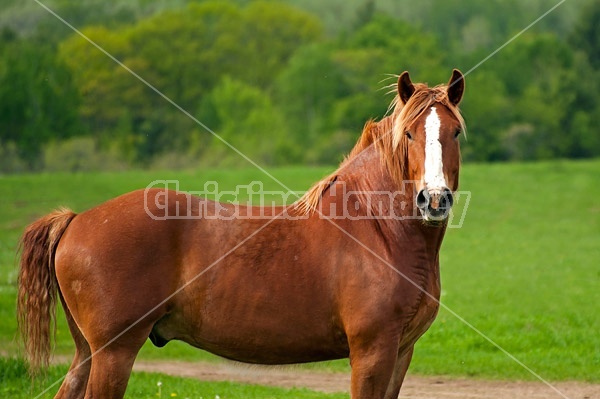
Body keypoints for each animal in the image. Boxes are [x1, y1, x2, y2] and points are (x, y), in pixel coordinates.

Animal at [17, 70, 464, 398]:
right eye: (409, 133)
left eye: (455, 132)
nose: (434, 199)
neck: (375, 228)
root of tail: (75, 219)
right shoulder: (372, 353)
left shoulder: (401, 352)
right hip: (114, 353)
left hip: (87, 353)